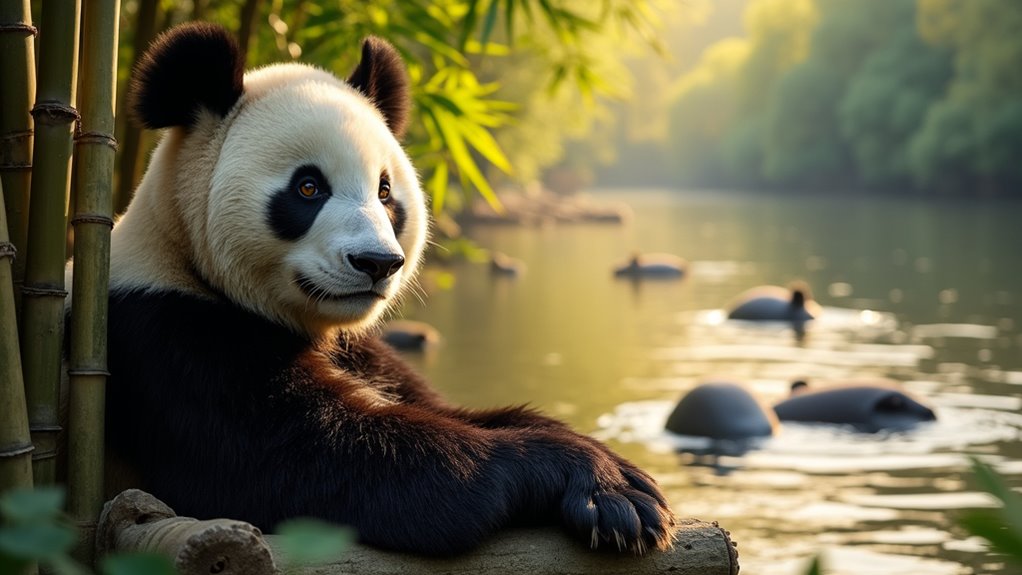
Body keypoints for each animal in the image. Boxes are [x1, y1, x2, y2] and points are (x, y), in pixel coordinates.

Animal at [80, 22, 675, 556]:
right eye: (308, 187)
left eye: (386, 192)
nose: (377, 263)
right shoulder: (170, 340)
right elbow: (339, 465)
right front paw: (602, 490)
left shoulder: (365, 353)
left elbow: (448, 411)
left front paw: (621, 476)